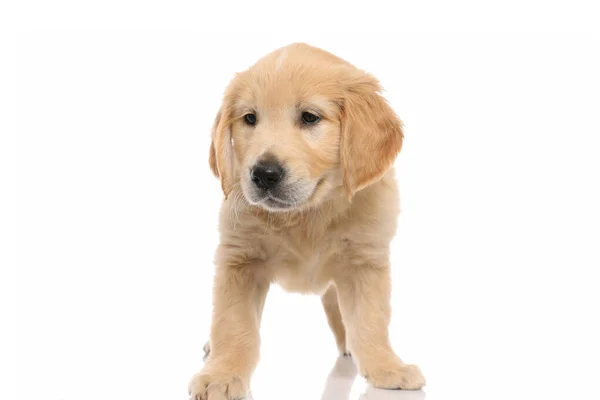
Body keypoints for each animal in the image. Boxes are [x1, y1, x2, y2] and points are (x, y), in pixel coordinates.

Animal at [190, 42, 424, 398]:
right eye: (250, 118)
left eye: (309, 117)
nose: (264, 174)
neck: (305, 215)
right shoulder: (239, 259)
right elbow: (233, 325)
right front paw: (222, 373)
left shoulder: (364, 261)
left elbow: (370, 320)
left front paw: (387, 368)